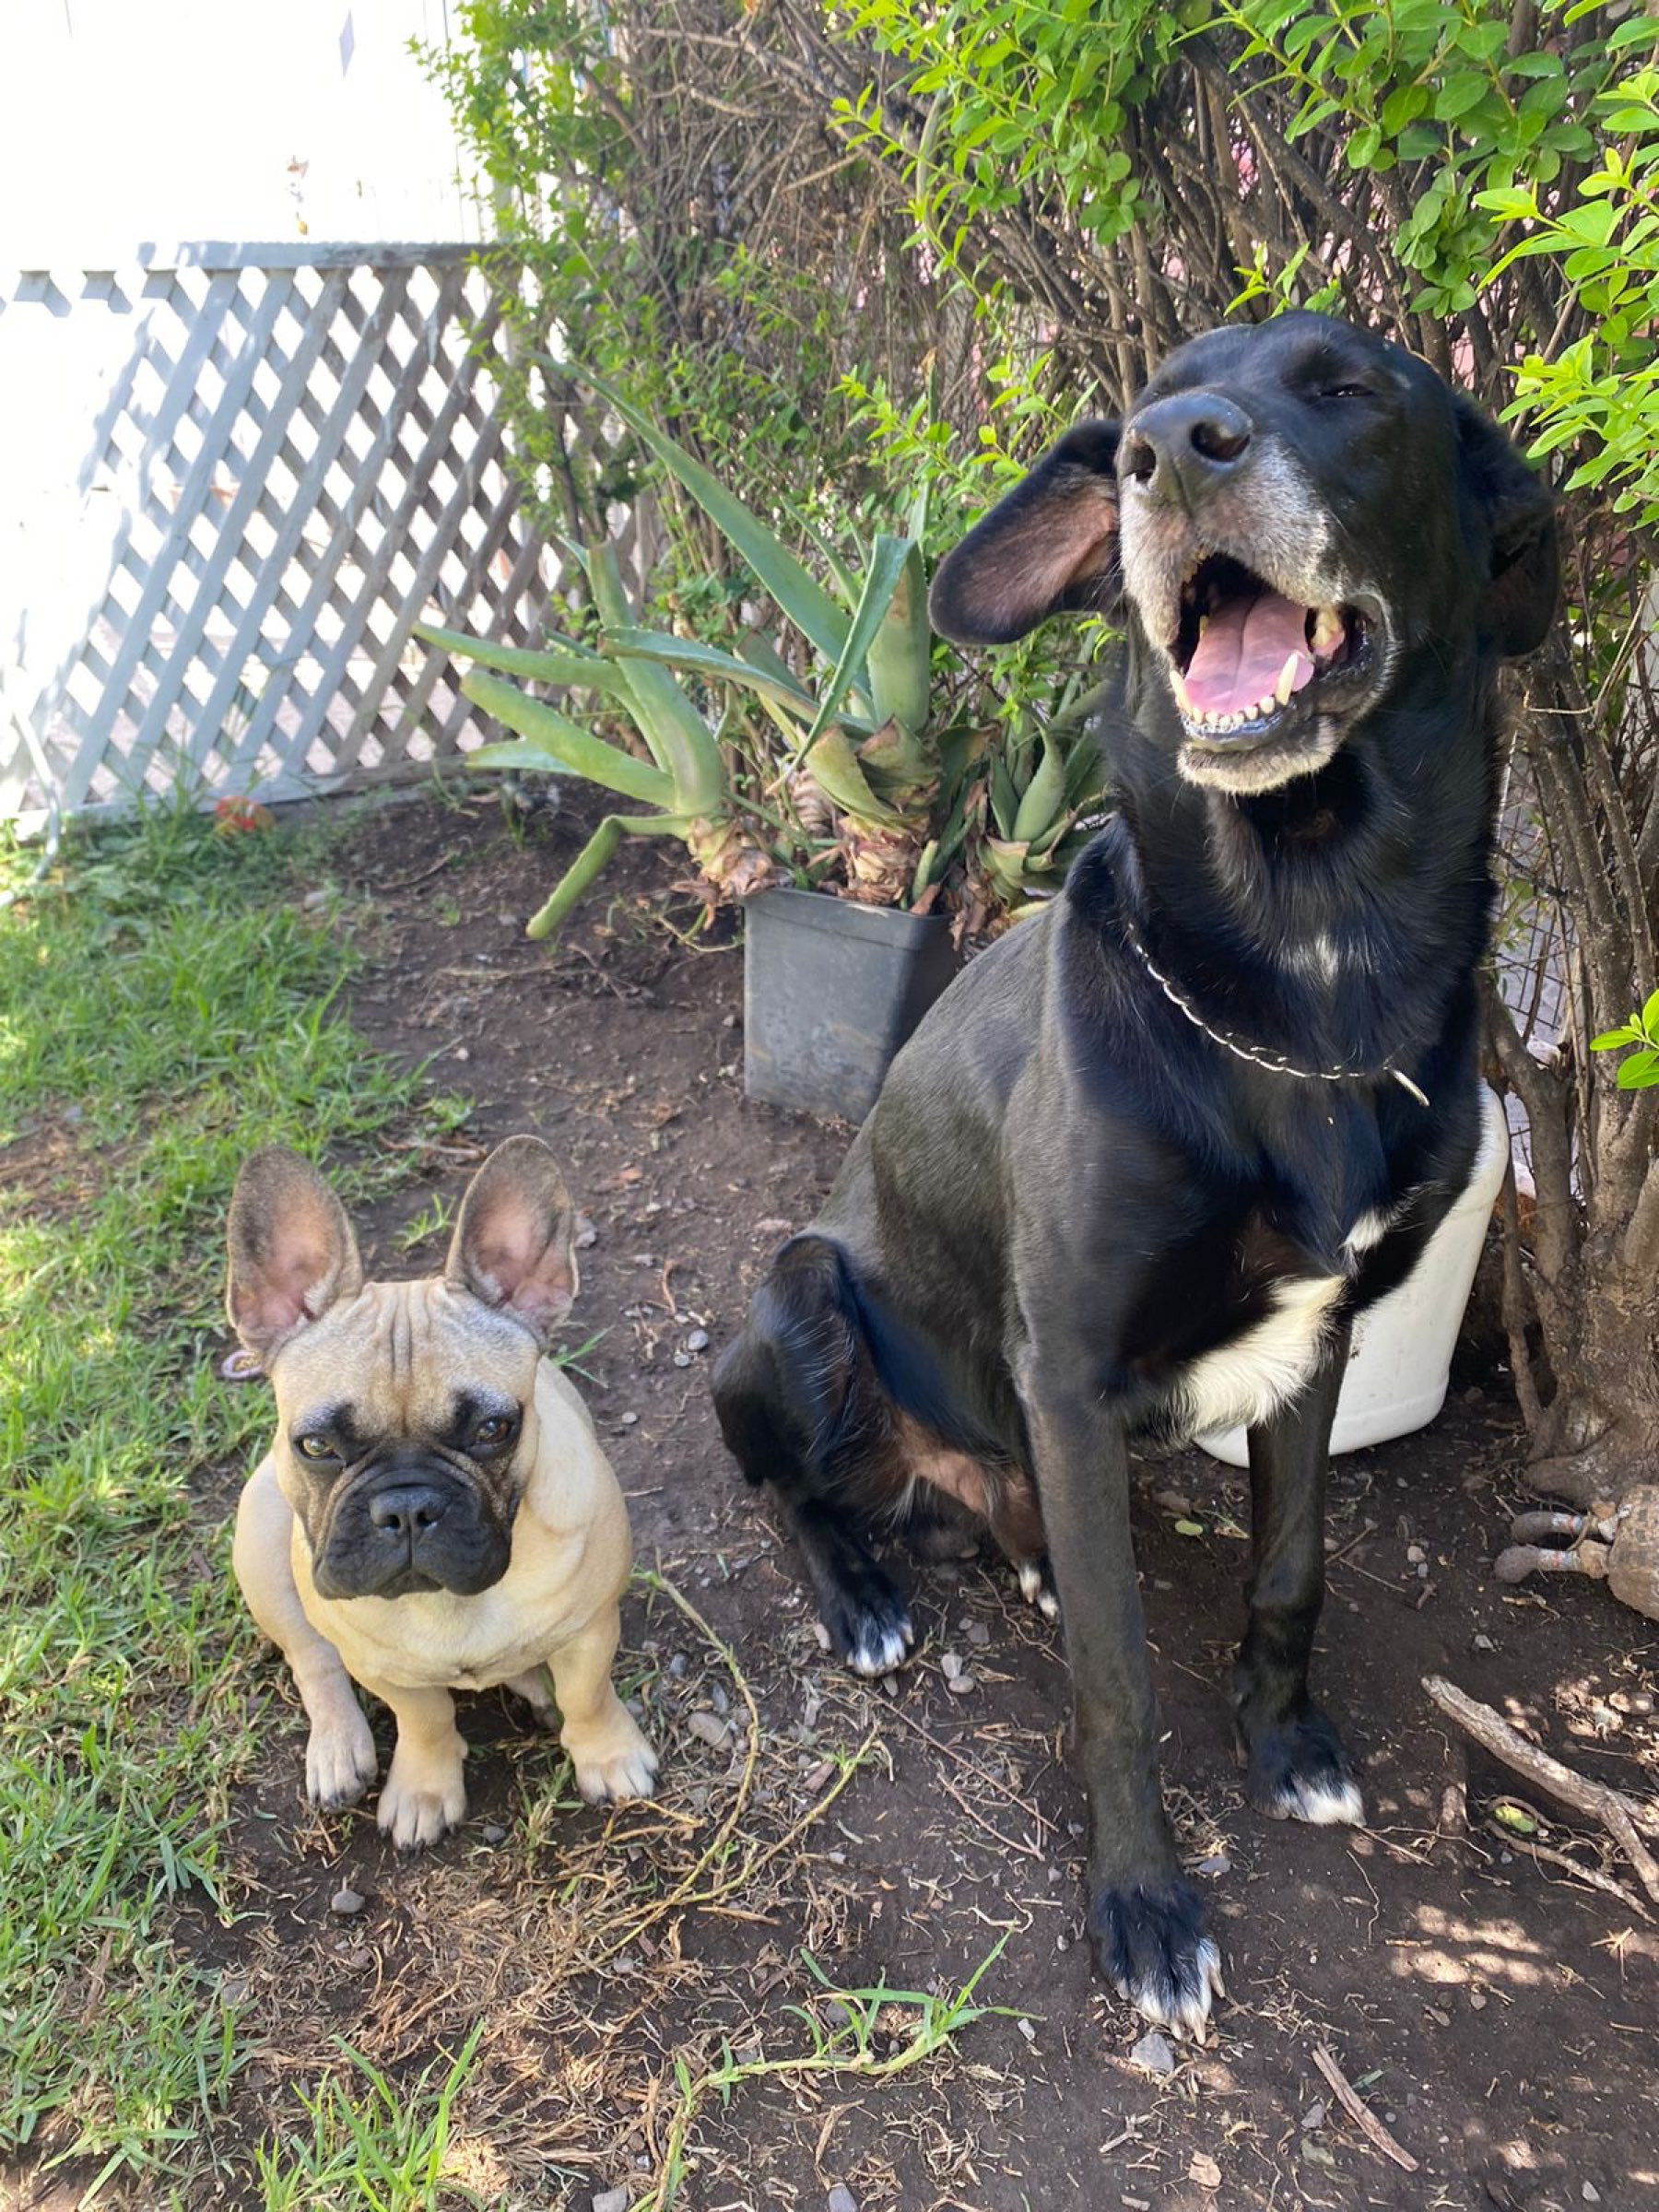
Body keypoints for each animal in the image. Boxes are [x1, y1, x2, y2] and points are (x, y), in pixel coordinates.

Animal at [227, 1135, 657, 1847]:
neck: (451, 1602)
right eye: (315, 1445)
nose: (407, 1507)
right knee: (311, 1655)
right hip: (261, 1545)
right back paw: (338, 1749)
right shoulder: (384, 1670)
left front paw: (608, 1754)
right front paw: (425, 1788)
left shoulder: (592, 1629)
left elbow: (588, 1695)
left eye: (492, 1429)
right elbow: (423, 1721)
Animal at [712, 312, 1557, 2034]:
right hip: (799, 1292)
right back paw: (866, 1596)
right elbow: (1118, 1681)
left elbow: (1292, 1565)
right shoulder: (1073, 1362)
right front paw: (1147, 1908)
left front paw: (1288, 1743)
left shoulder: (1320, 1336)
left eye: (1352, 388)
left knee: (1014, 1520)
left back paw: (1018, 1554)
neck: (1308, 957)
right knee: (790, 1491)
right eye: (1140, 420)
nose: (1173, 455)